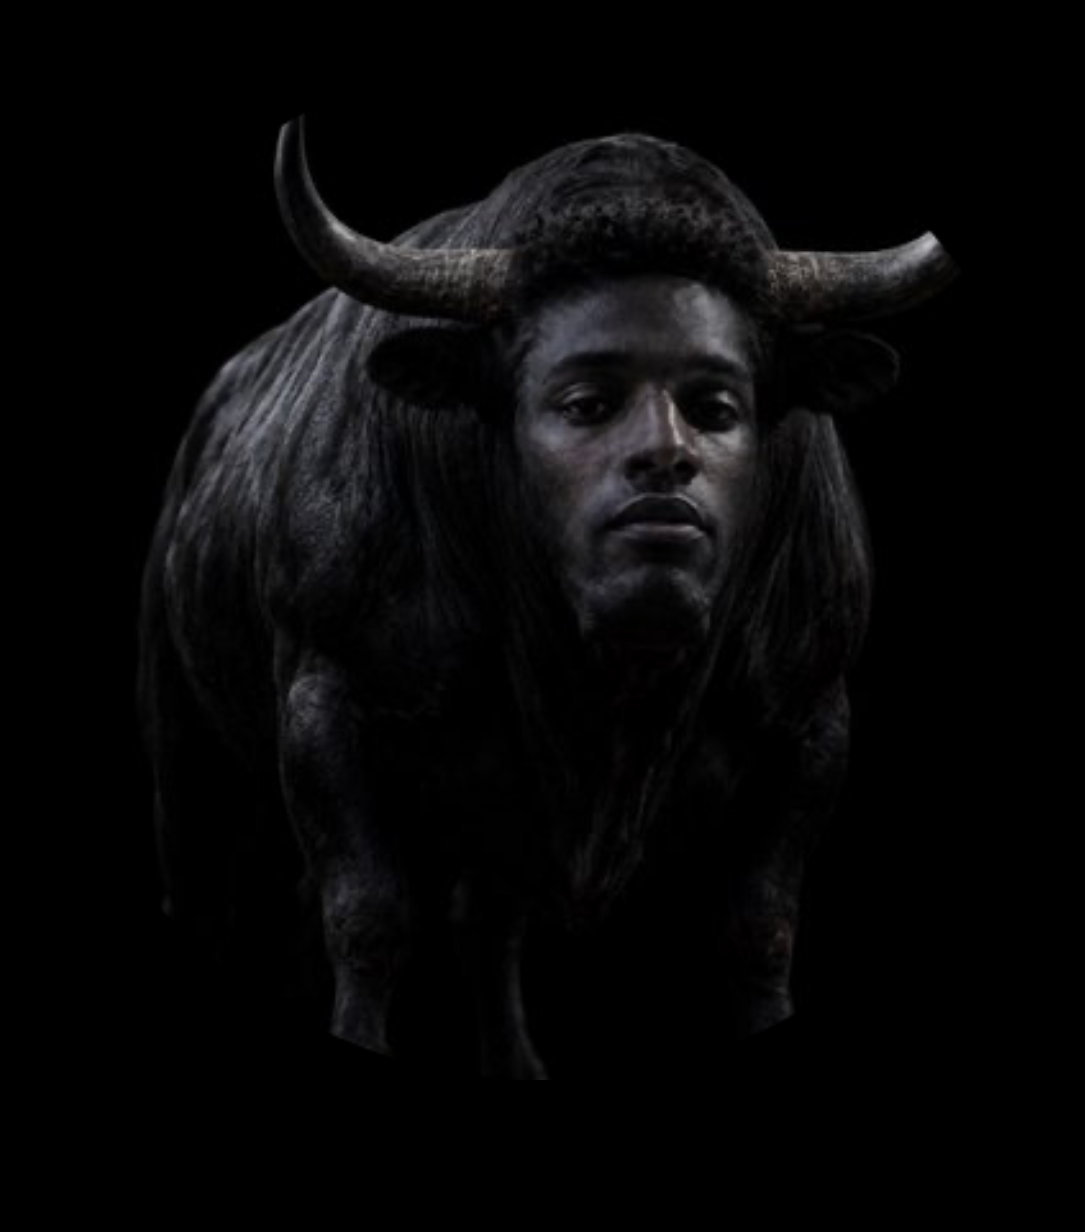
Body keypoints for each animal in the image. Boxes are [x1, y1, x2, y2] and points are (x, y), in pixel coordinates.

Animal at [138, 118, 956, 1077]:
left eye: (715, 407)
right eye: (586, 402)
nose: (663, 465)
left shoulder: (813, 720)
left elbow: (761, 928)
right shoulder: (324, 704)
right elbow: (367, 915)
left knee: (486, 924)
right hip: (185, 745)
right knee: (212, 894)